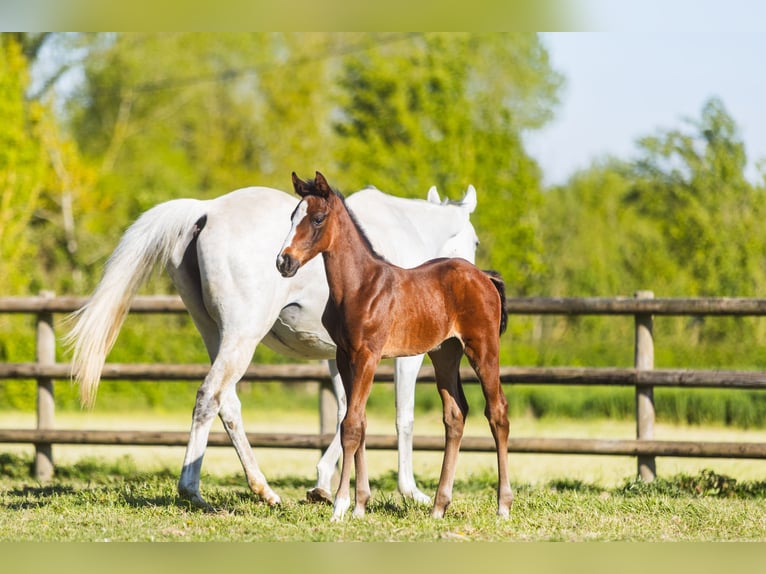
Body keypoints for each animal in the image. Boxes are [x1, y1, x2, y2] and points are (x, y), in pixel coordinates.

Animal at [66, 180, 479, 509]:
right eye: (475, 240)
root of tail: (205, 211)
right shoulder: (404, 357)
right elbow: (401, 417)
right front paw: (411, 491)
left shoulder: (341, 356)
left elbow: (346, 412)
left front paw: (322, 484)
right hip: (242, 336)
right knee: (209, 396)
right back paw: (193, 490)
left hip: (216, 335)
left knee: (227, 403)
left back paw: (263, 489)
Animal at [277, 171, 513, 521]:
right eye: (292, 216)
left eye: (317, 219)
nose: (284, 262)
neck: (360, 286)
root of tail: (483, 276)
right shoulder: (345, 356)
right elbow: (357, 422)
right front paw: (360, 504)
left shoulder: (368, 356)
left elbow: (351, 426)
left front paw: (340, 506)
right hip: (445, 354)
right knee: (455, 414)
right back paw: (439, 506)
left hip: (482, 348)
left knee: (497, 412)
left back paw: (503, 505)